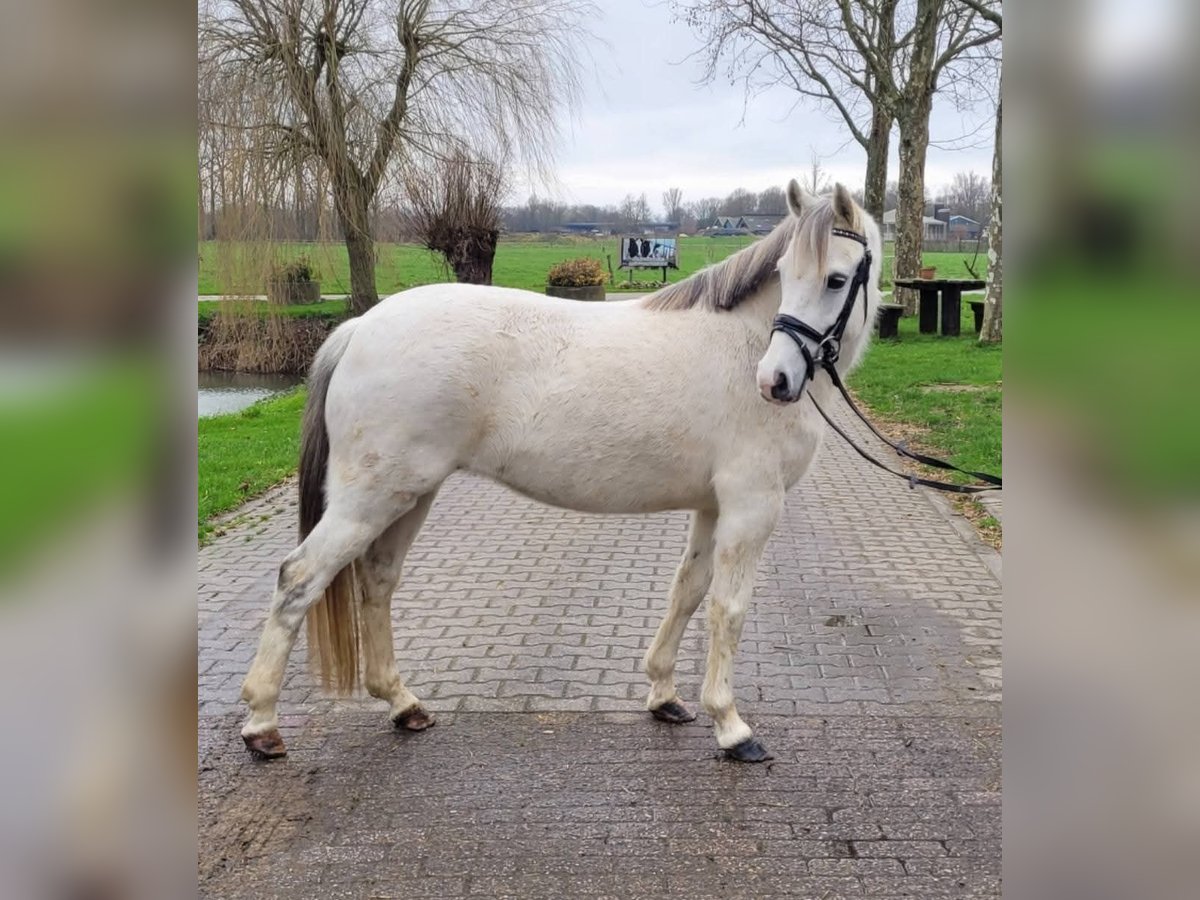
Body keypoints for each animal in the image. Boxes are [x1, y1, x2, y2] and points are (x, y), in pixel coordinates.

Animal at [241, 180, 883, 763]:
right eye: (785, 272)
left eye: (835, 279)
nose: (775, 381)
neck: (742, 343)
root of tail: (358, 329)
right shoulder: (753, 506)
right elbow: (729, 609)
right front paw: (731, 726)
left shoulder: (713, 506)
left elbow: (687, 592)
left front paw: (664, 695)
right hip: (368, 499)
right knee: (299, 579)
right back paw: (262, 725)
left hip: (408, 495)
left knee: (376, 582)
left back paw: (403, 704)